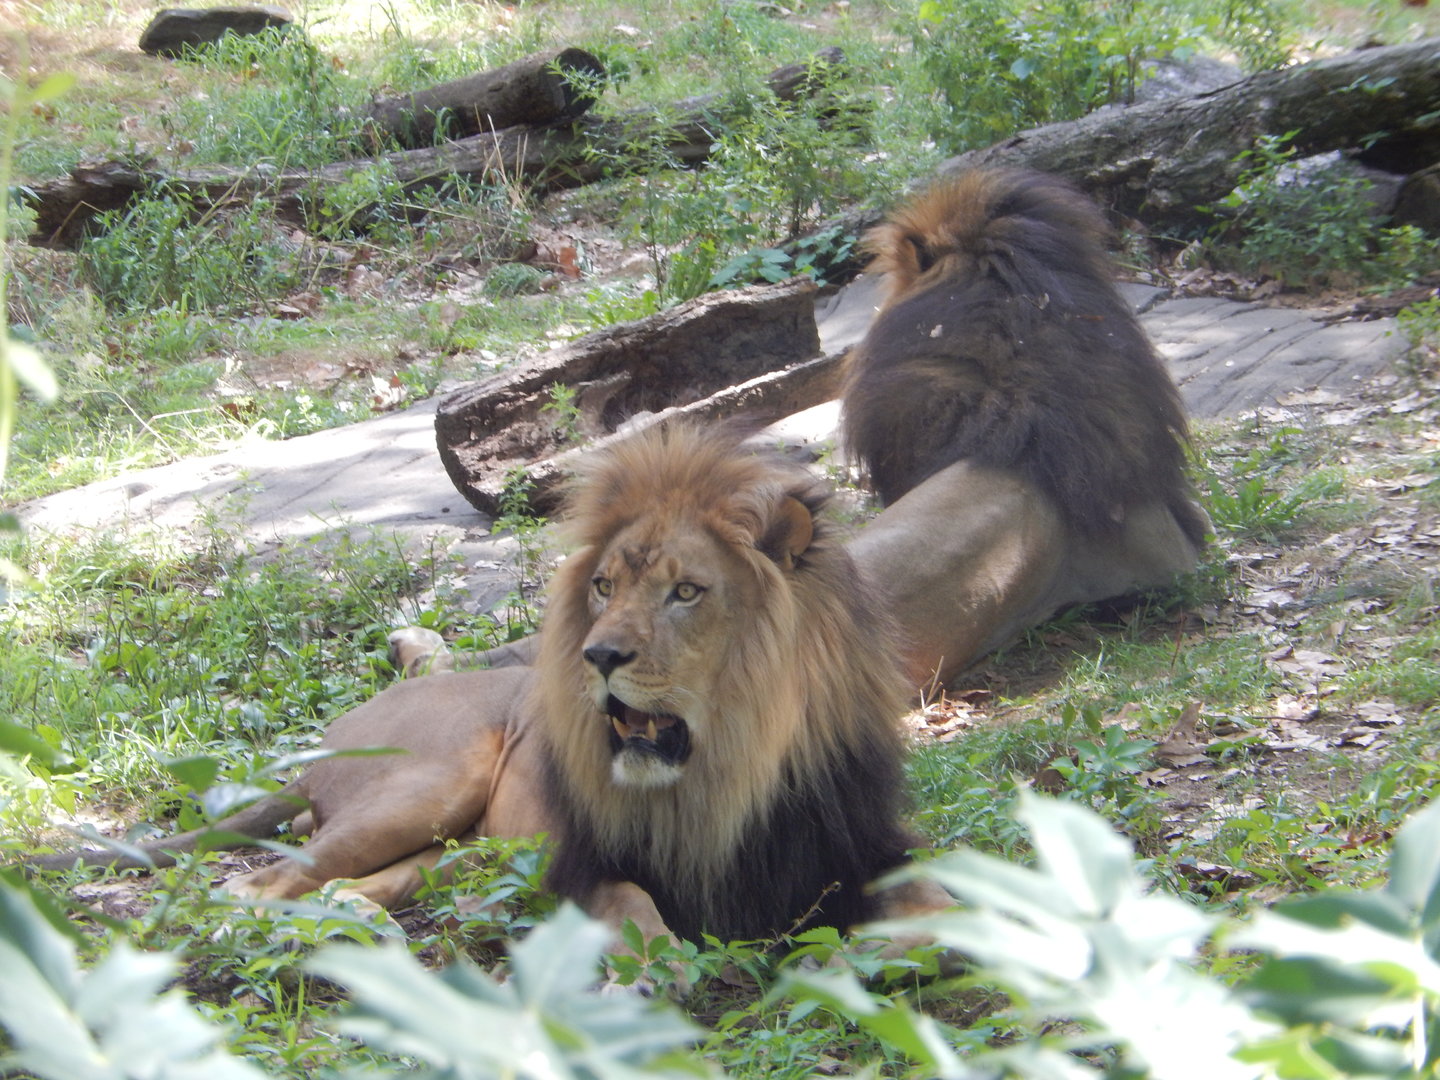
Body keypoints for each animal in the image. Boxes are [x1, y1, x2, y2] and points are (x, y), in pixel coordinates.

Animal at [24, 424, 949, 950]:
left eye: (686, 591)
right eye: (604, 586)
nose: (597, 656)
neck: (726, 772)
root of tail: (333, 731)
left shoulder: (855, 846)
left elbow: (935, 896)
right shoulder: (580, 864)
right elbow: (634, 905)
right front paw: (654, 967)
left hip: (451, 847)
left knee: (356, 883)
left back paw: (360, 922)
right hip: (428, 781)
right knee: (257, 882)